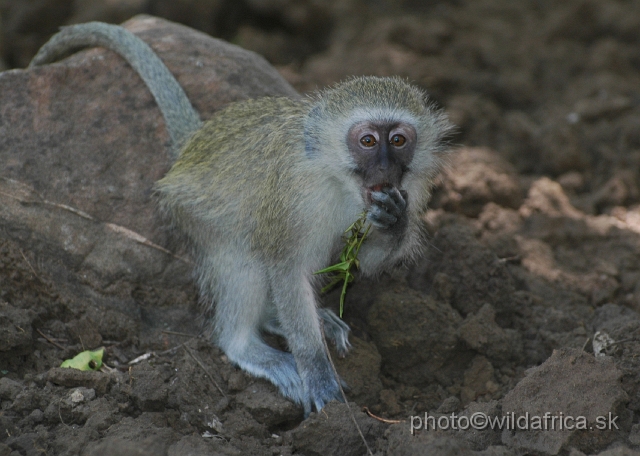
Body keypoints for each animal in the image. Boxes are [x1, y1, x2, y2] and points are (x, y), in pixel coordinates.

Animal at [28, 21, 450, 416]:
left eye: (398, 140)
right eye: (367, 141)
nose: (385, 168)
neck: (337, 179)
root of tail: (189, 150)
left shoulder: (409, 192)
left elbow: (363, 260)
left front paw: (394, 221)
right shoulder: (295, 198)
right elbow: (286, 269)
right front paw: (317, 373)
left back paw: (276, 319)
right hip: (194, 214)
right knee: (244, 259)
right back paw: (246, 343)